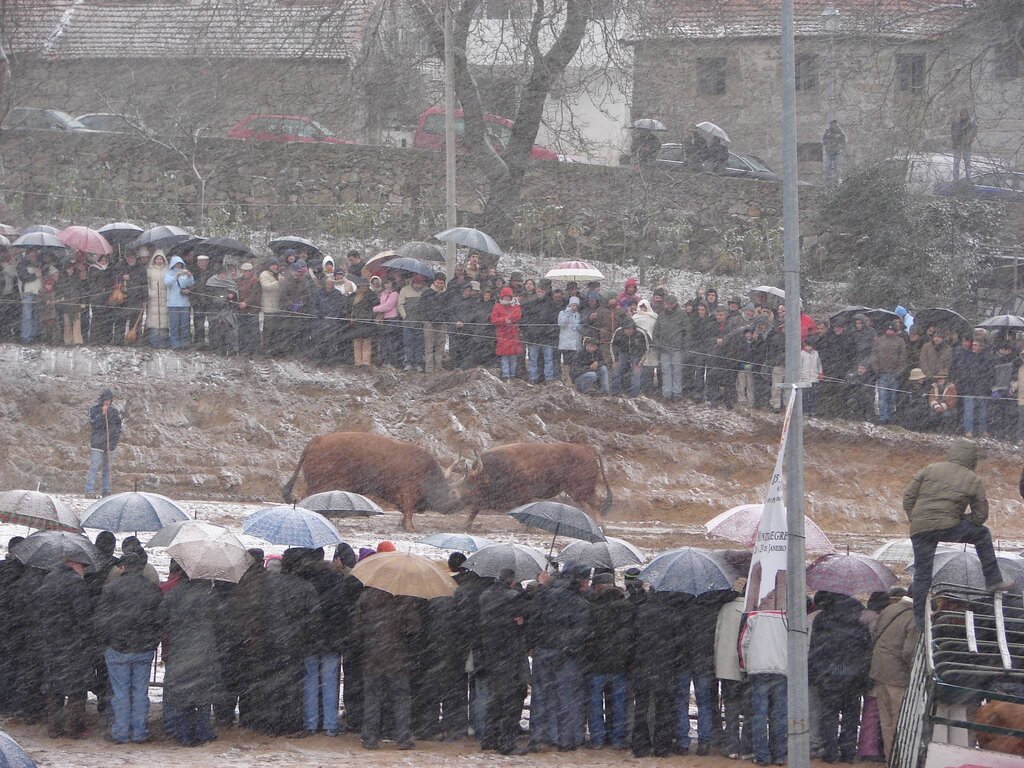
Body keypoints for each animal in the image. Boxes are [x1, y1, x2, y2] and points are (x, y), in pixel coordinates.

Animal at [280, 434, 460, 536]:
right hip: (320, 485)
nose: (452, 507)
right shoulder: (408, 491)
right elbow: (408, 511)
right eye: (451, 492)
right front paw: (411, 528)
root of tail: (314, 442)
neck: (426, 471)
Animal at [454, 442, 610, 532]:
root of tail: (588, 449)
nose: (454, 501)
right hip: (575, 492)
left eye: (470, 483)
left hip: (580, 490)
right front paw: (465, 525)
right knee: (588, 506)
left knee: (595, 503)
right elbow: (475, 509)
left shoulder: (523, 495)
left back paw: (600, 527)